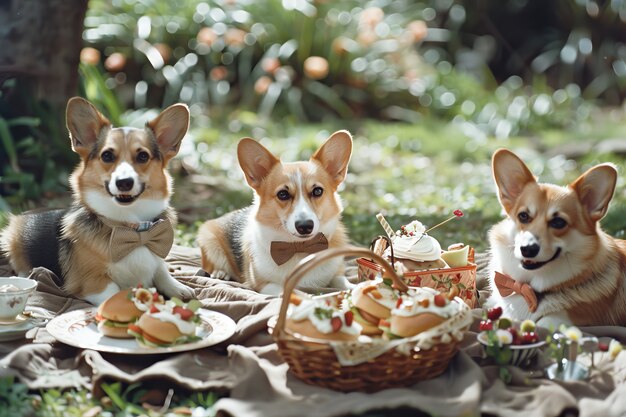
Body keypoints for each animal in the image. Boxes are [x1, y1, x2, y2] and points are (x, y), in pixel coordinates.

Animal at [0, 98, 195, 306]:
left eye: (143, 156)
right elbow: (115, 290)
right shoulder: (91, 283)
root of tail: (27, 213)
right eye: (107, 156)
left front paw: (177, 287)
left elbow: (161, 270)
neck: (132, 230)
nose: (124, 182)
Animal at [199, 130, 354, 292]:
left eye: (317, 191)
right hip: (208, 238)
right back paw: (220, 273)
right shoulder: (263, 285)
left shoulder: (337, 272)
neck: (298, 247)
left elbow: (342, 281)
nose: (305, 226)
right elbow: (289, 291)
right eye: (283, 194)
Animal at [488, 148, 624, 326]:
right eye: (523, 216)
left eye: (558, 222)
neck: (529, 288)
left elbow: (543, 323)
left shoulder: (563, 319)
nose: (527, 249)